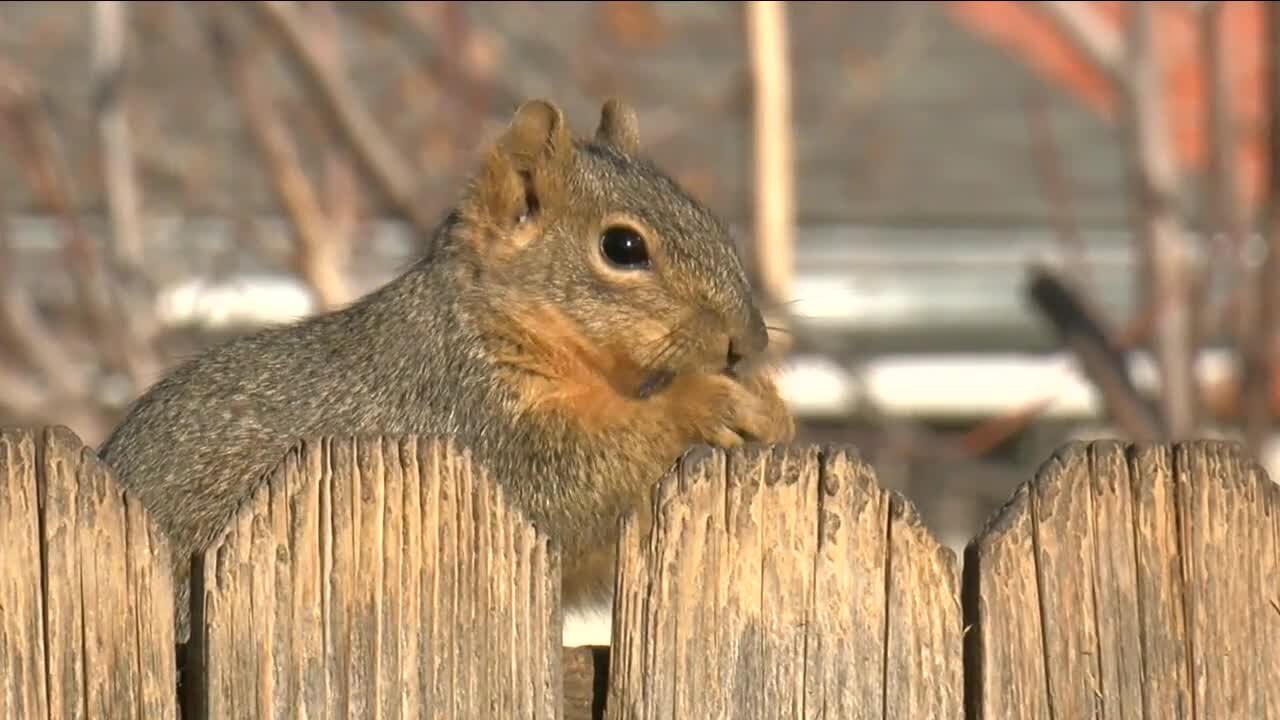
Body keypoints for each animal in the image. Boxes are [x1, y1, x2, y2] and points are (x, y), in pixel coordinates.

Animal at [99, 95, 793, 638]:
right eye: (622, 247)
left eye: (707, 215)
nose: (748, 341)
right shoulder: (467, 414)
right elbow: (567, 482)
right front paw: (703, 401)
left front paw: (771, 409)